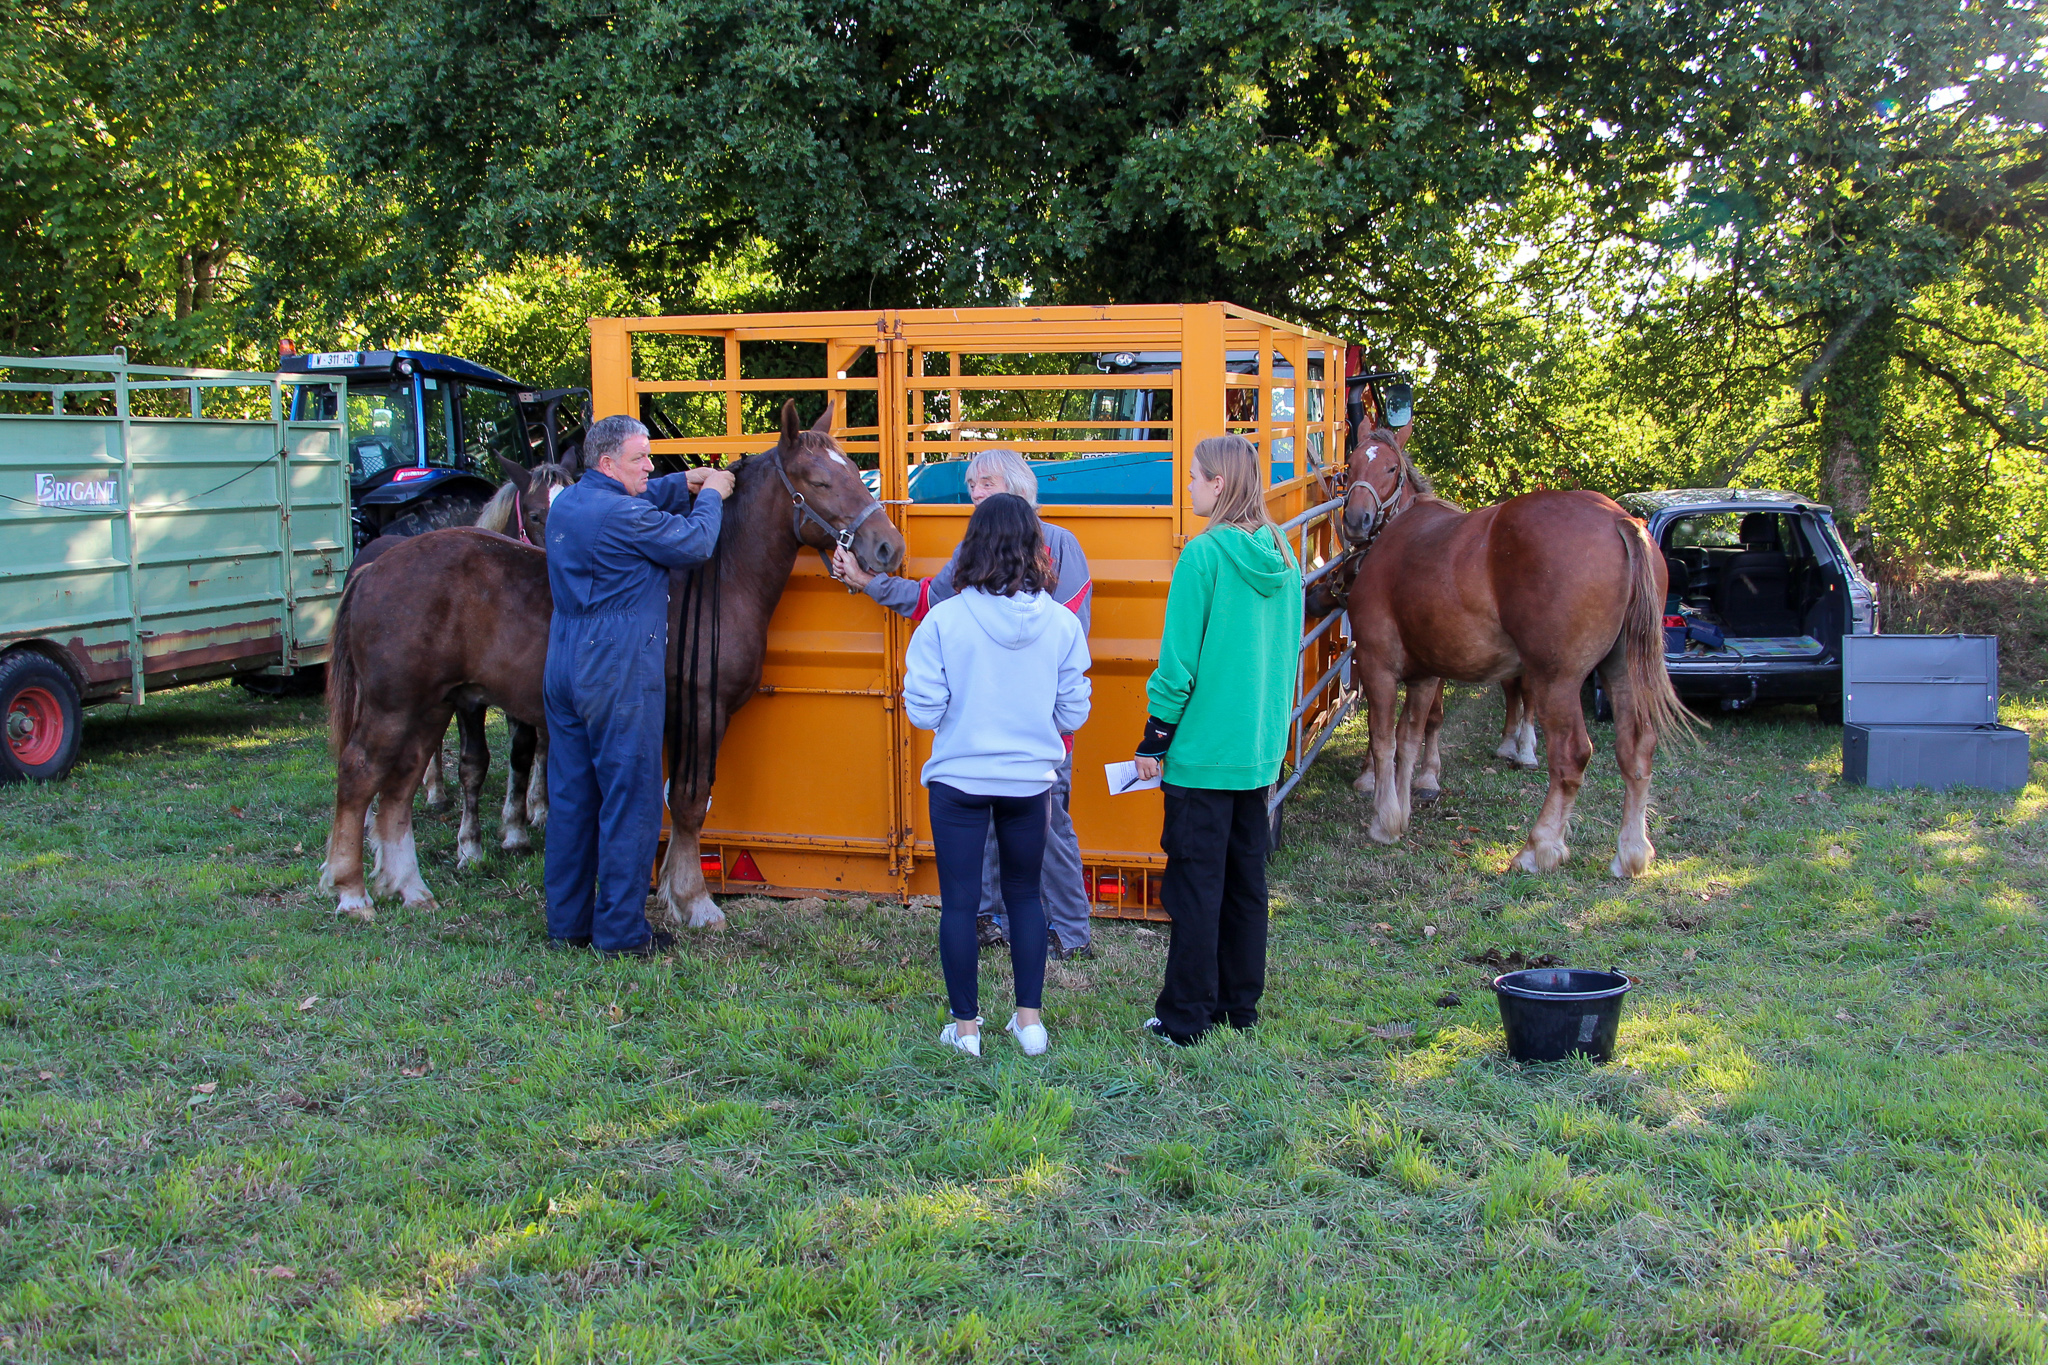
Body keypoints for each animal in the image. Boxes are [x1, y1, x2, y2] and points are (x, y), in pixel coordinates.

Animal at [319, 401, 897, 925]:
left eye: (854, 473)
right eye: (819, 482)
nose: (888, 546)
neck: (717, 576)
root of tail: (374, 568)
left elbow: (683, 801)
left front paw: (677, 894)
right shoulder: (700, 712)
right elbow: (690, 802)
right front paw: (695, 902)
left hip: (431, 708)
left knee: (399, 786)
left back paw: (410, 888)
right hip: (394, 708)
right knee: (359, 774)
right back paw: (351, 892)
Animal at [1335, 423, 1687, 875]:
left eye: (1391, 467)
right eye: (1352, 463)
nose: (1356, 520)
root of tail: (1620, 520)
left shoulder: (1377, 665)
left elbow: (1383, 740)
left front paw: (1385, 819)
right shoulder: (1425, 674)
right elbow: (1409, 737)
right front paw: (1404, 808)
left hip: (1558, 679)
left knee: (1571, 756)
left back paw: (1538, 847)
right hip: (1622, 671)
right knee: (1637, 751)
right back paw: (1631, 852)